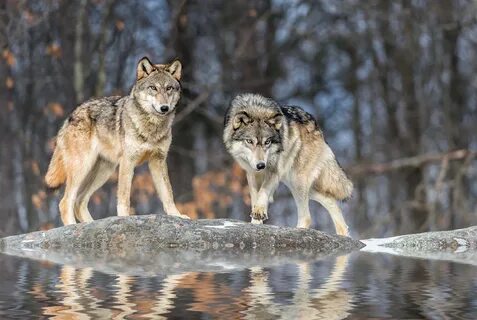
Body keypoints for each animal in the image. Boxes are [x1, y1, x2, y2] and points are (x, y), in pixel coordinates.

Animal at [44, 56, 189, 225]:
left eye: (169, 88)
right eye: (153, 88)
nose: (164, 108)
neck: (151, 128)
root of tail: (70, 116)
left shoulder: (158, 161)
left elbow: (168, 193)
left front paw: (177, 216)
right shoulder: (128, 161)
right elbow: (124, 196)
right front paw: (124, 218)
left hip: (104, 171)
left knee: (79, 201)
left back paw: (91, 224)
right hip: (82, 168)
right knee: (65, 202)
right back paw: (73, 226)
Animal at [221, 92, 352, 235]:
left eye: (267, 142)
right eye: (249, 141)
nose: (261, 165)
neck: (256, 109)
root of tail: (317, 127)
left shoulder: (274, 170)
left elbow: (263, 191)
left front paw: (259, 212)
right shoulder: (251, 172)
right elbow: (255, 197)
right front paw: (256, 222)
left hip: (297, 181)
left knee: (307, 217)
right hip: (295, 183)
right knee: (330, 200)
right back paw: (343, 235)